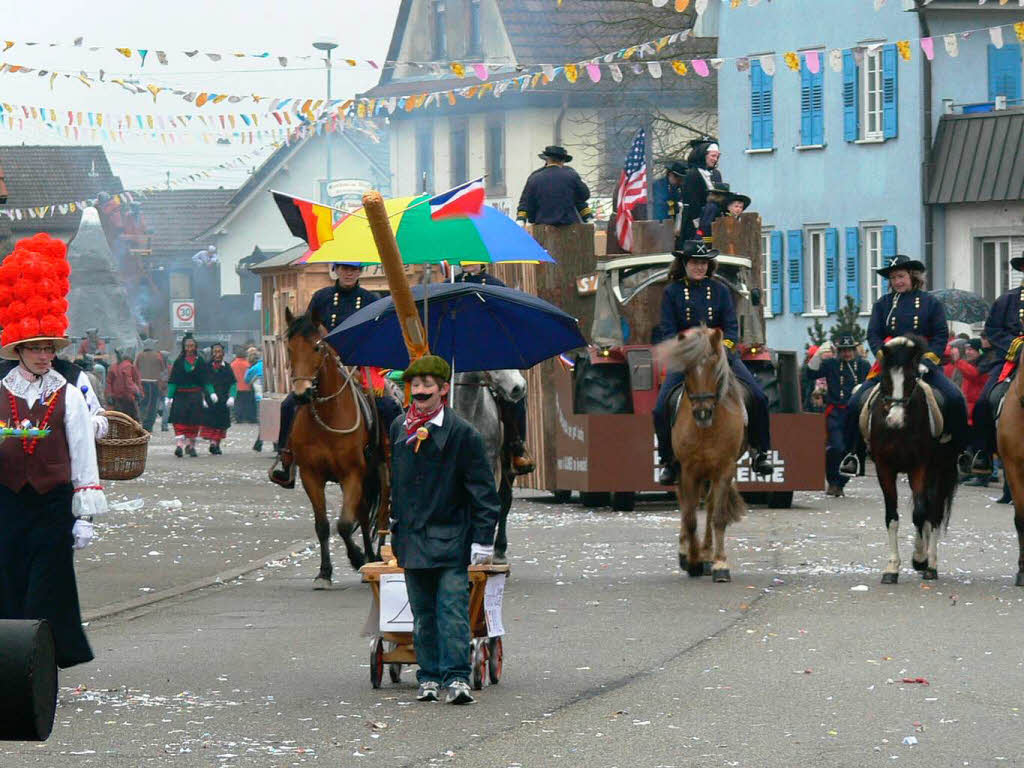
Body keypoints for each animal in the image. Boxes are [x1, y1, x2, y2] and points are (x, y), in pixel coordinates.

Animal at [284, 309, 387, 589]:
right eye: (289, 348)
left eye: (317, 347)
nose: (301, 394)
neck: (327, 415)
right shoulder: (311, 476)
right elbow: (323, 525)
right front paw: (324, 573)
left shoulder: (352, 474)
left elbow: (344, 524)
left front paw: (357, 557)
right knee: (363, 514)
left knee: (374, 516)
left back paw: (375, 557)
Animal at [655, 325, 745, 581]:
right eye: (686, 369)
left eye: (715, 366)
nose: (702, 413)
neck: (707, 430)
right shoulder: (688, 470)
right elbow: (691, 517)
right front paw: (692, 560)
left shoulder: (724, 468)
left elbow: (718, 517)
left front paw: (720, 563)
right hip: (681, 471)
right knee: (686, 506)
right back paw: (687, 552)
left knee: (711, 506)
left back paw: (707, 554)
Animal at [864, 335, 958, 581]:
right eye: (885, 379)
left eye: (910, 378)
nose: (895, 419)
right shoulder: (884, 469)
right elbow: (892, 517)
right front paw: (891, 568)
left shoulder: (920, 467)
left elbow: (919, 514)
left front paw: (920, 558)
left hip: (940, 470)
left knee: (933, 512)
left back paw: (930, 564)